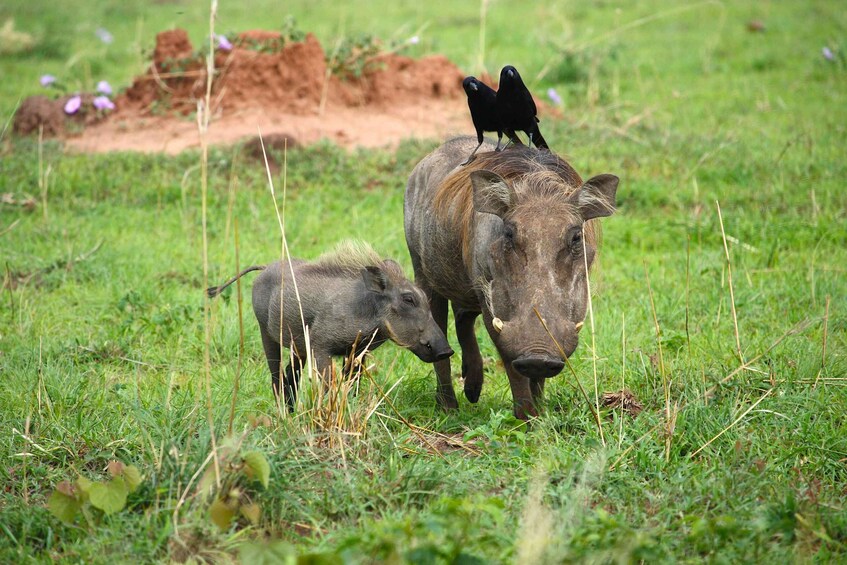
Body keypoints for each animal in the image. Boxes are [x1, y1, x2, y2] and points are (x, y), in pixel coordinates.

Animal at [207, 241, 453, 408]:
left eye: (424, 297)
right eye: (408, 299)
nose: (447, 351)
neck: (367, 309)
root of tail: (265, 267)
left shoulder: (357, 352)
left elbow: (352, 384)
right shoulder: (320, 347)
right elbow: (329, 385)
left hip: (298, 346)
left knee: (291, 375)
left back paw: (292, 411)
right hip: (265, 333)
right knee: (276, 375)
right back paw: (283, 414)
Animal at [404, 136, 618, 420]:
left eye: (576, 237)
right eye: (508, 233)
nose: (538, 356)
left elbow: (537, 378)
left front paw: (540, 416)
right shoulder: (495, 312)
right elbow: (511, 364)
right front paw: (526, 418)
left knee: (462, 317)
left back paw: (473, 390)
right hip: (425, 275)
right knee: (440, 337)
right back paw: (449, 407)